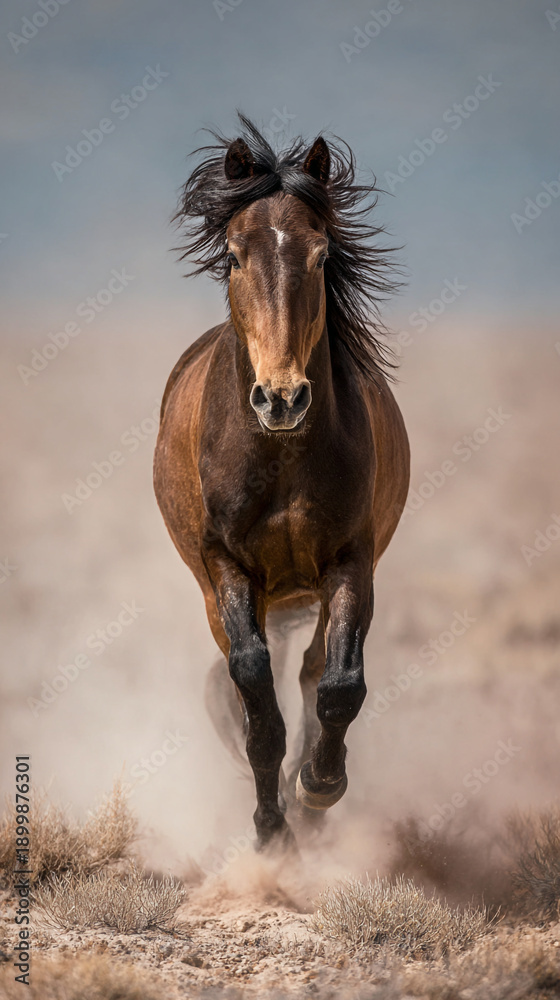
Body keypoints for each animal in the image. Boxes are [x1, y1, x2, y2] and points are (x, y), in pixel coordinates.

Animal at [154, 115, 410, 852]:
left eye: (321, 256)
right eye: (234, 256)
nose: (282, 398)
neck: (283, 455)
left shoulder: (351, 558)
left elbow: (338, 684)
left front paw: (319, 786)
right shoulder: (227, 567)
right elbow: (254, 698)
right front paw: (271, 831)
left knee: (311, 670)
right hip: (225, 593)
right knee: (240, 682)